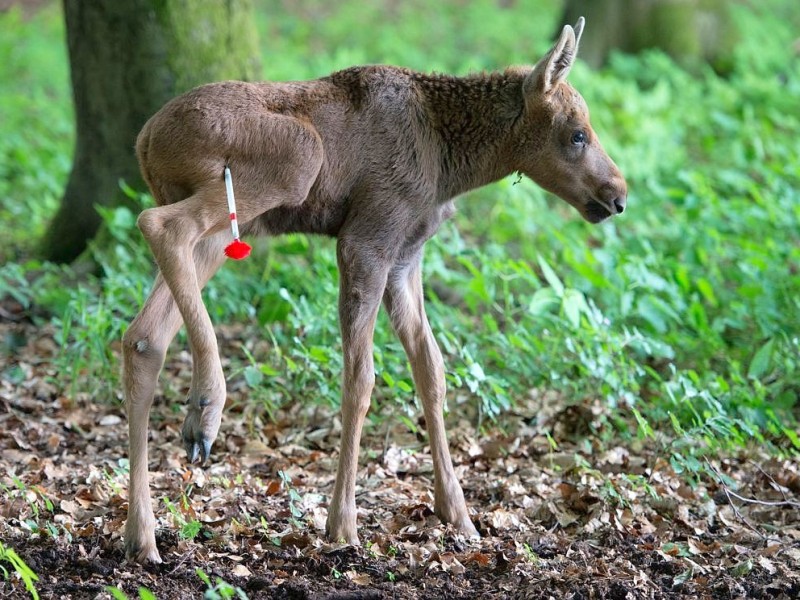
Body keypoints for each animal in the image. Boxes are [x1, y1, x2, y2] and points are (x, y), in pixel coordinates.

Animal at [123, 17, 624, 564]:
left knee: (144, 335)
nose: (618, 195)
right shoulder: (366, 241)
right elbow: (361, 380)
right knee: (159, 224)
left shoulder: (406, 257)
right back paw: (207, 405)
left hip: (224, 231)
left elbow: (431, 370)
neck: (452, 165)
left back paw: (141, 533)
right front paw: (342, 524)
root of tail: (144, 139)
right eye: (577, 134)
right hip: (293, 162)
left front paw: (459, 514)